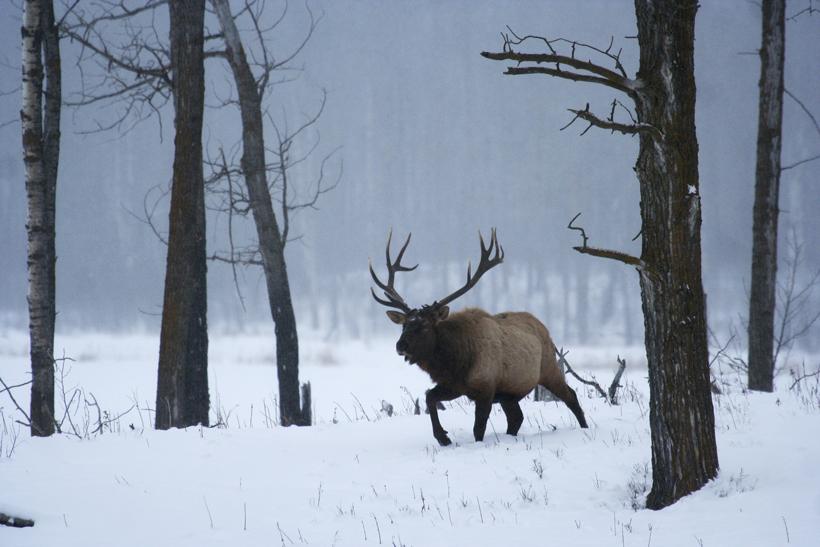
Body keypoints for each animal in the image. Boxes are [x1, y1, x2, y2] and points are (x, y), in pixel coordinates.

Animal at [370, 229, 588, 446]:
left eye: (423, 326)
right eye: (404, 325)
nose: (400, 345)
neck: (456, 362)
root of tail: (543, 327)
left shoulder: (486, 388)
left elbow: (478, 428)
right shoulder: (455, 386)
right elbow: (429, 396)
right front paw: (443, 437)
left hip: (549, 368)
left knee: (571, 396)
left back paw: (585, 428)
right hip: (510, 394)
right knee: (516, 418)